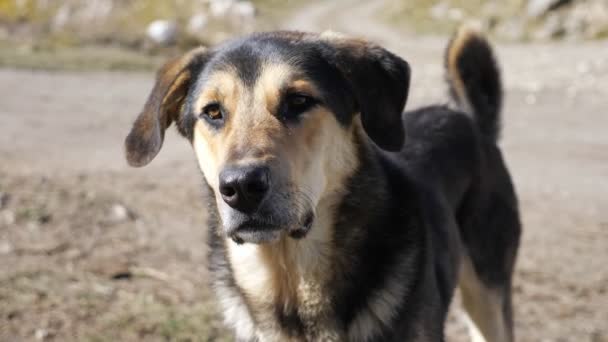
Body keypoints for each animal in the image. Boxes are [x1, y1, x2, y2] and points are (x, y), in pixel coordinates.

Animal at [124, 27, 524, 342]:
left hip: (489, 292)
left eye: (299, 101)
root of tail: (470, 120)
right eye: (212, 112)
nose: (241, 187)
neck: (291, 281)